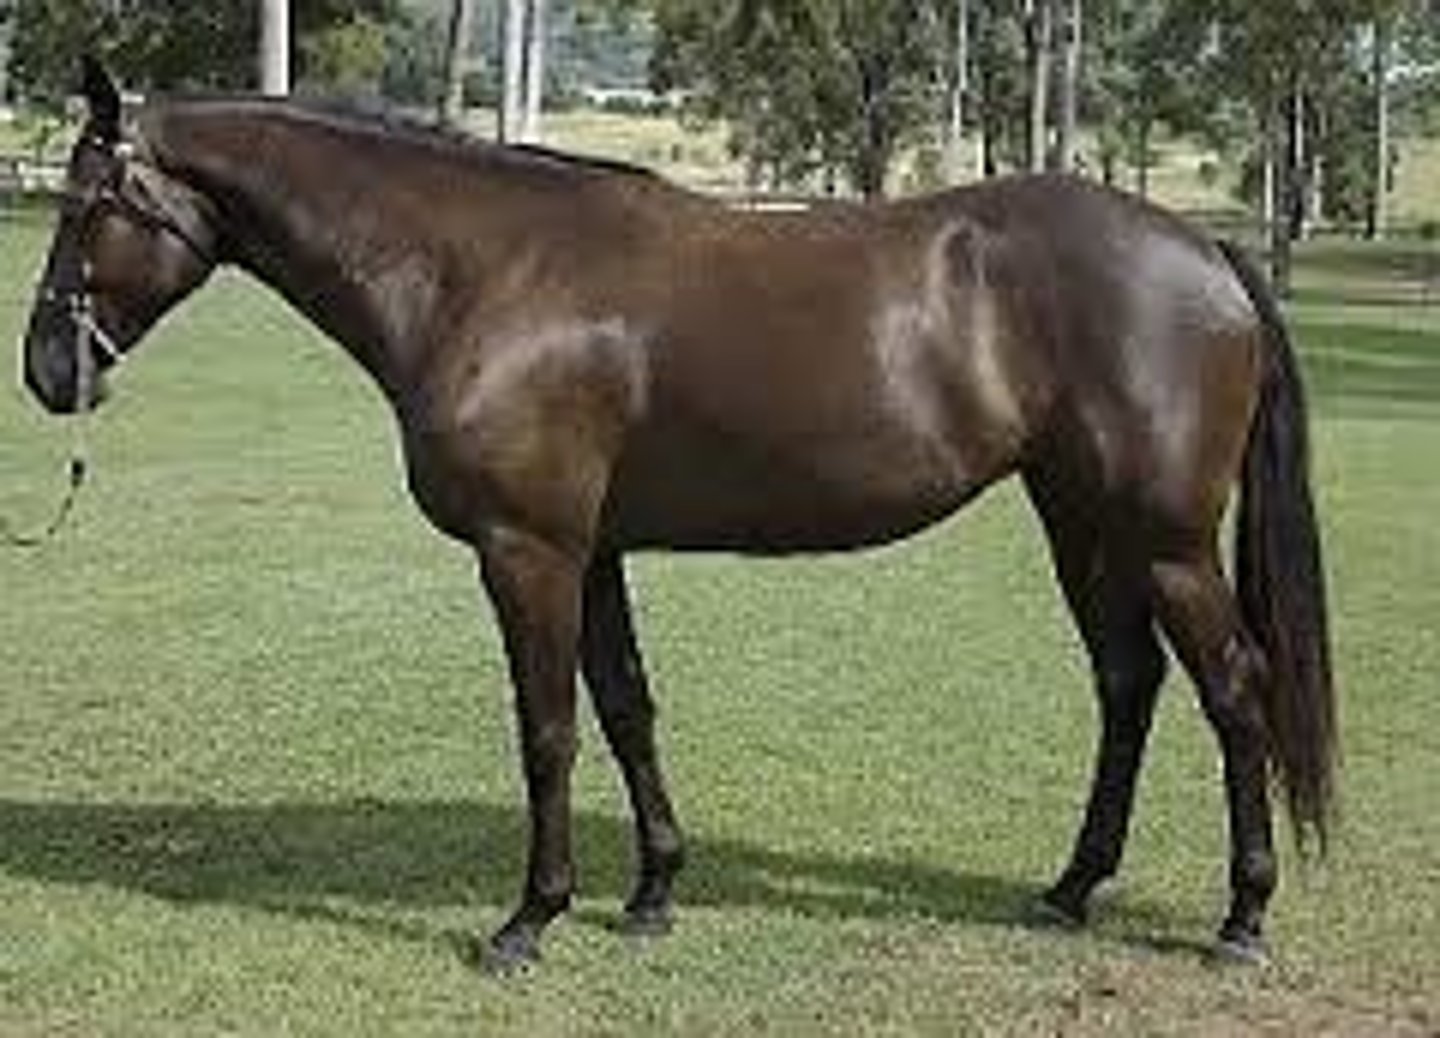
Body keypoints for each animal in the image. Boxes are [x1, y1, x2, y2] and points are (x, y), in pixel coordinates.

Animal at [21, 59, 1335, 971]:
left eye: (86, 203)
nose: (45, 370)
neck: (485, 270)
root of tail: (1202, 251)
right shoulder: (591, 549)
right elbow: (625, 708)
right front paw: (652, 893)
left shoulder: (528, 552)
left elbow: (547, 729)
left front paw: (529, 919)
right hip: (1083, 523)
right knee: (1128, 684)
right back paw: (1070, 888)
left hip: (1166, 543)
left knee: (1234, 692)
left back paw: (1243, 916)